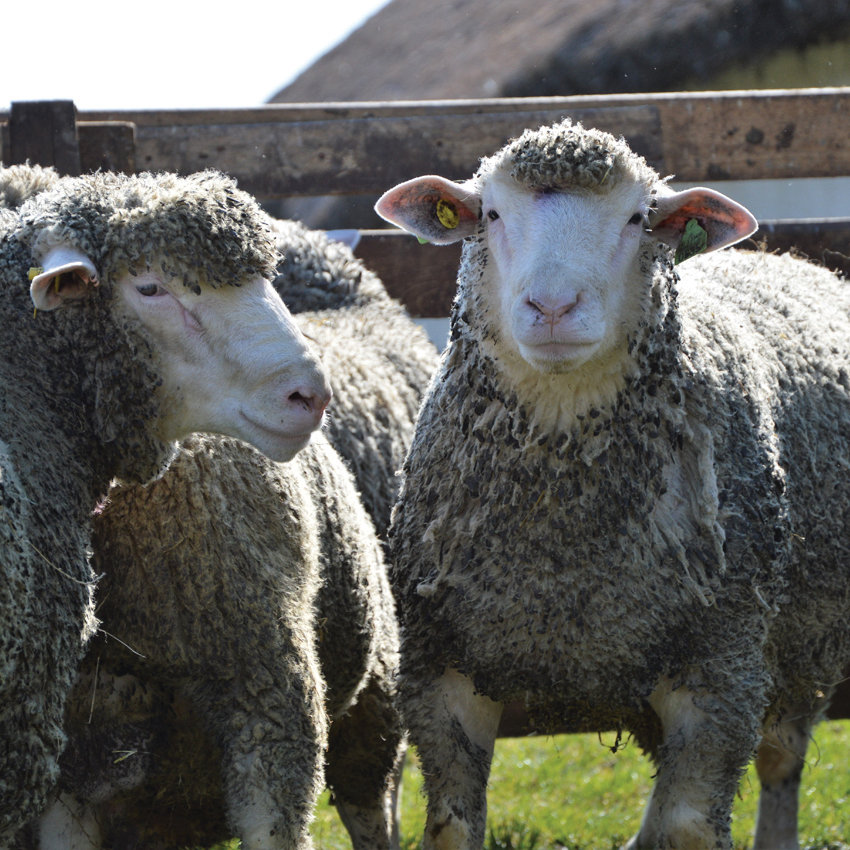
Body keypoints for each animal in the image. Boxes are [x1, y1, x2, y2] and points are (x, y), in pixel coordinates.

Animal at [32, 220, 438, 848]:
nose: (308, 394)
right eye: (150, 288)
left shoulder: (271, 703)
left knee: (374, 806)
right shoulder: (69, 765)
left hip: (374, 700)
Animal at [374, 119, 848, 848]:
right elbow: (453, 827)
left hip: (802, 645)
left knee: (780, 759)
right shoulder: (437, 668)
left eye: (636, 218)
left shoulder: (724, 667)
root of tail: (782, 255)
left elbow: (686, 825)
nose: (552, 306)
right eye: (490, 214)